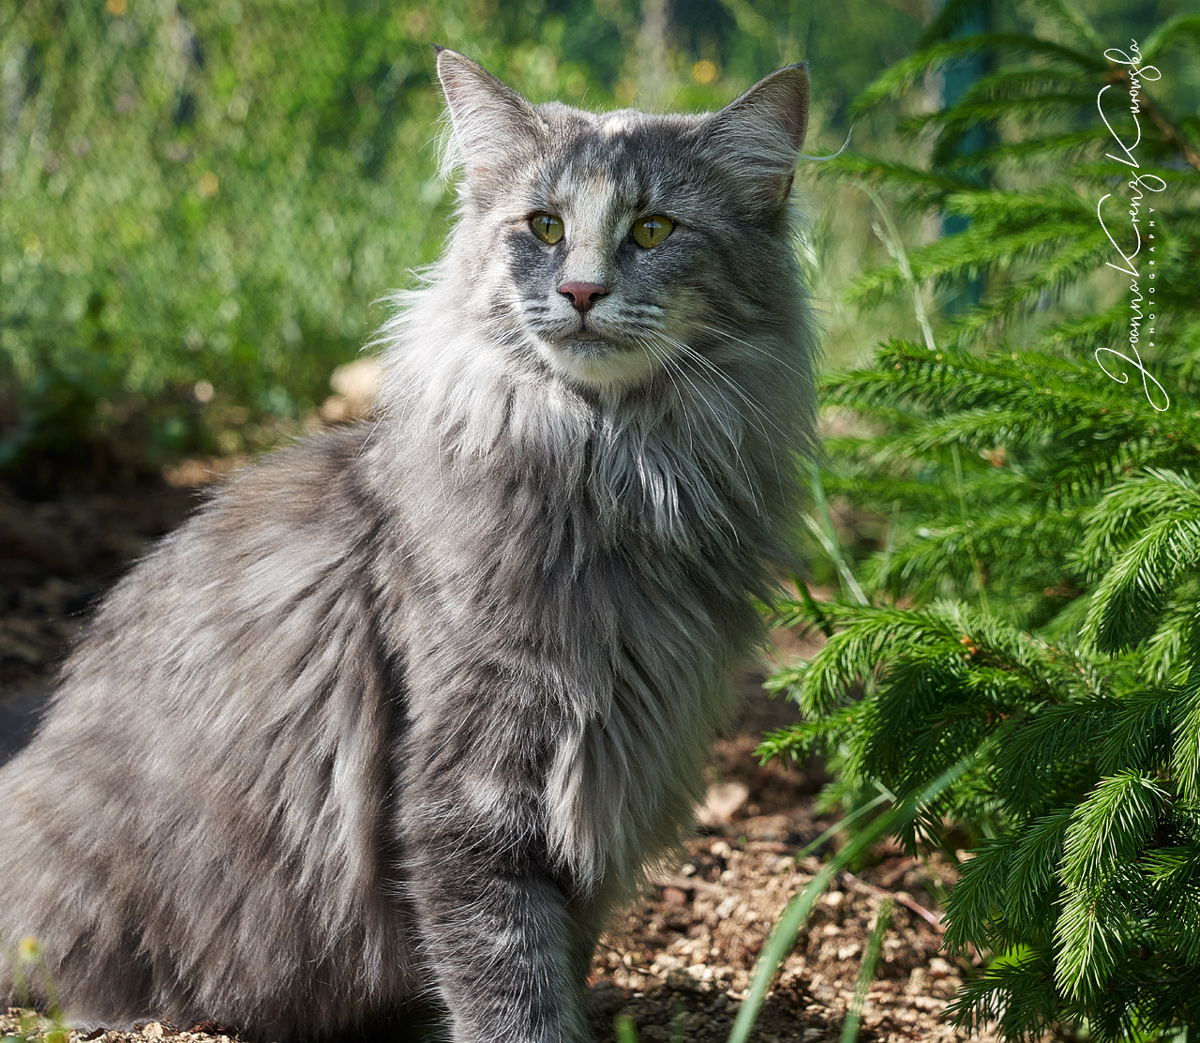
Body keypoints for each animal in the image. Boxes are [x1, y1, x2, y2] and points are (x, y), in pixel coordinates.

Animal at [0, 46, 816, 1041]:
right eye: (545, 226)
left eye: (654, 230)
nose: (582, 292)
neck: (614, 466)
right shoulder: (469, 791)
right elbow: (511, 983)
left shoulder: (607, 775)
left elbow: (556, 958)